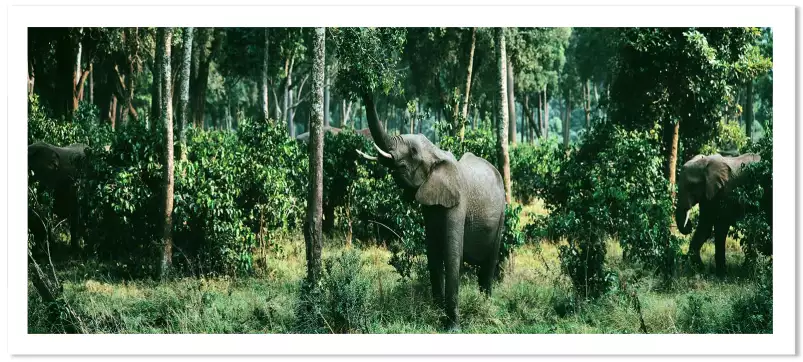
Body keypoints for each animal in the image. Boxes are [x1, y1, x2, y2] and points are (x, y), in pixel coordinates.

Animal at [356, 94, 506, 330]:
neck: (437, 153)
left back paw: (486, 307)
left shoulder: (458, 202)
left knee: (489, 265)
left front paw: (452, 328)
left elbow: (452, 255)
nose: (367, 91)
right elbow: (433, 254)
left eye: (413, 152)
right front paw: (437, 316)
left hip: (502, 214)